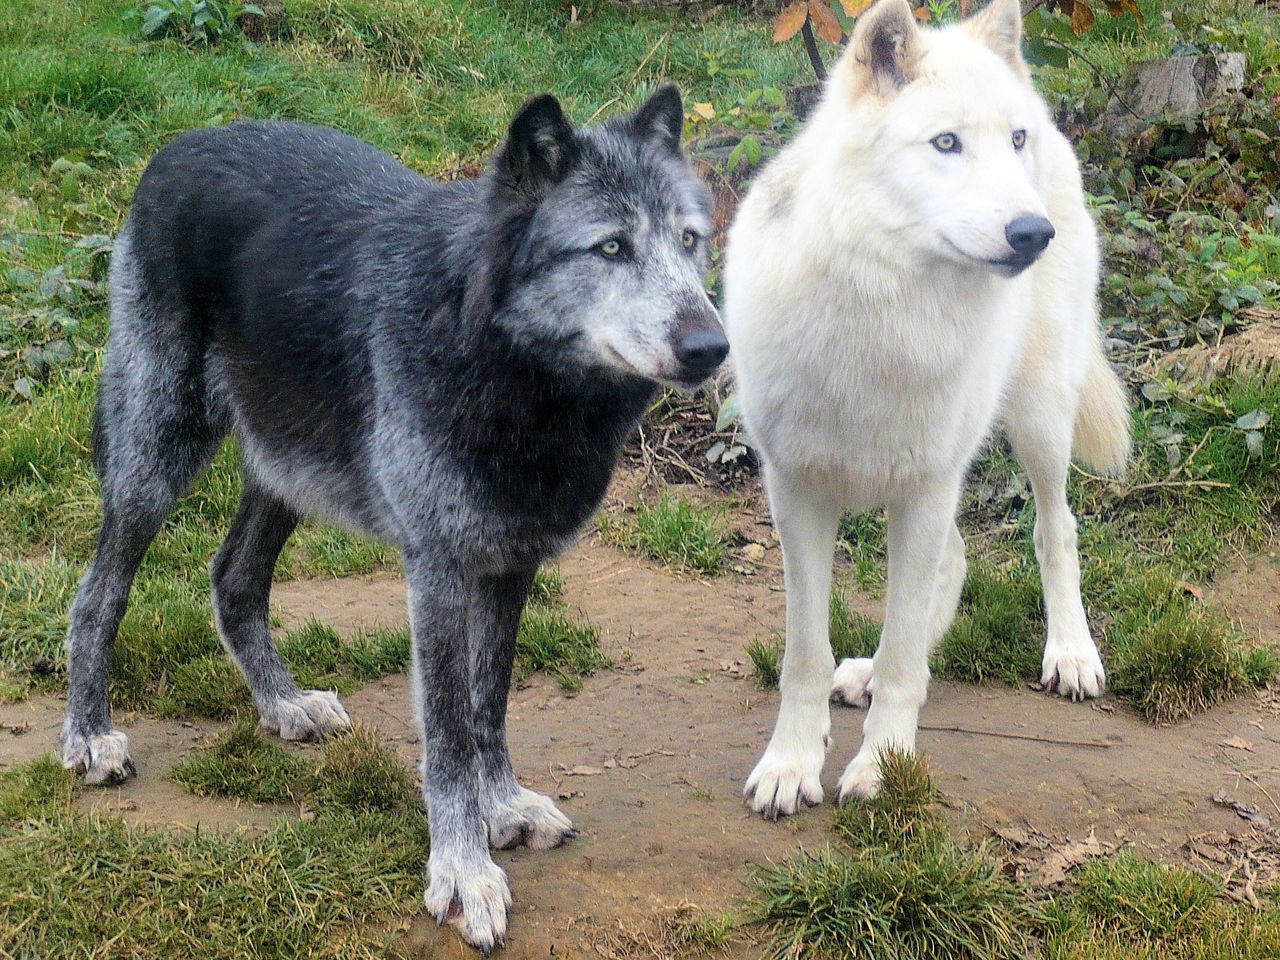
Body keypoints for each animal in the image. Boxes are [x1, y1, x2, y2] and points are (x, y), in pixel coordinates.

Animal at [58, 87, 726, 952]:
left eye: (690, 241)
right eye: (610, 247)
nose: (712, 345)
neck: (512, 372)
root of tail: (180, 145)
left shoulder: (510, 565)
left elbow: (487, 705)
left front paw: (501, 807)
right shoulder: (436, 571)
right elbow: (446, 734)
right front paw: (464, 873)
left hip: (288, 470)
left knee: (233, 579)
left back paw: (282, 706)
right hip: (156, 462)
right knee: (97, 595)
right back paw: (88, 735)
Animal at [723, 0, 1130, 817]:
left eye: (1011, 141)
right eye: (946, 143)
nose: (1033, 233)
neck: (883, 309)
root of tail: (1054, 118)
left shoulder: (926, 487)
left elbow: (908, 656)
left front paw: (883, 767)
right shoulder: (797, 495)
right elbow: (804, 656)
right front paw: (791, 764)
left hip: (1036, 422)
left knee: (1056, 529)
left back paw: (1071, 655)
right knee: (960, 557)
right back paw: (862, 674)